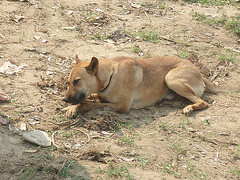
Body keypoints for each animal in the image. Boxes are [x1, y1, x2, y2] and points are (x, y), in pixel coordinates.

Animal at [62, 55, 220, 119]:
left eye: (77, 81)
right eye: (68, 82)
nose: (65, 99)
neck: (110, 75)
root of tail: (199, 72)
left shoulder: (122, 106)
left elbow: (91, 105)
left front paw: (79, 107)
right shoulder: (101, 95)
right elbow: (87, 99)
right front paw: (72, 108)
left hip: (171, 79)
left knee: (203, 102)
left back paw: (189, 108)